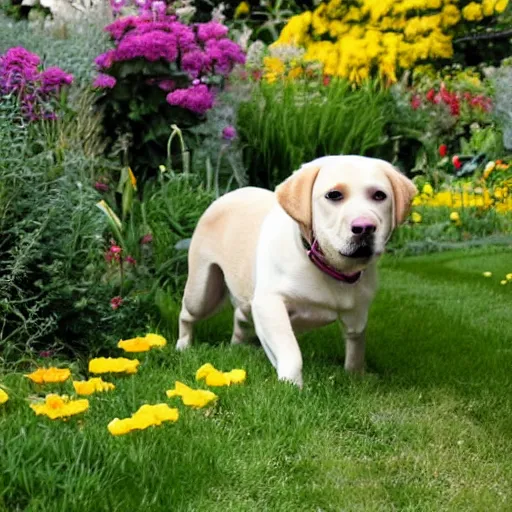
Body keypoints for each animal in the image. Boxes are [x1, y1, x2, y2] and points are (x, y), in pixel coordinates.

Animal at [176, 154, 416, 386]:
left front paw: (356, 376)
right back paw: (183, 346)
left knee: (240, 317)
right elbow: (290, 352)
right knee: (187, 315)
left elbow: (356, 344)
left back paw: (237, 346)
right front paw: (292, 385)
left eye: (379, 195)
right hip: (203, 293)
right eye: (334, 195)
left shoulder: (357, 311)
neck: (329, 268)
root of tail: (227, 195)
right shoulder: (269, 304)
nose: (365, 227)